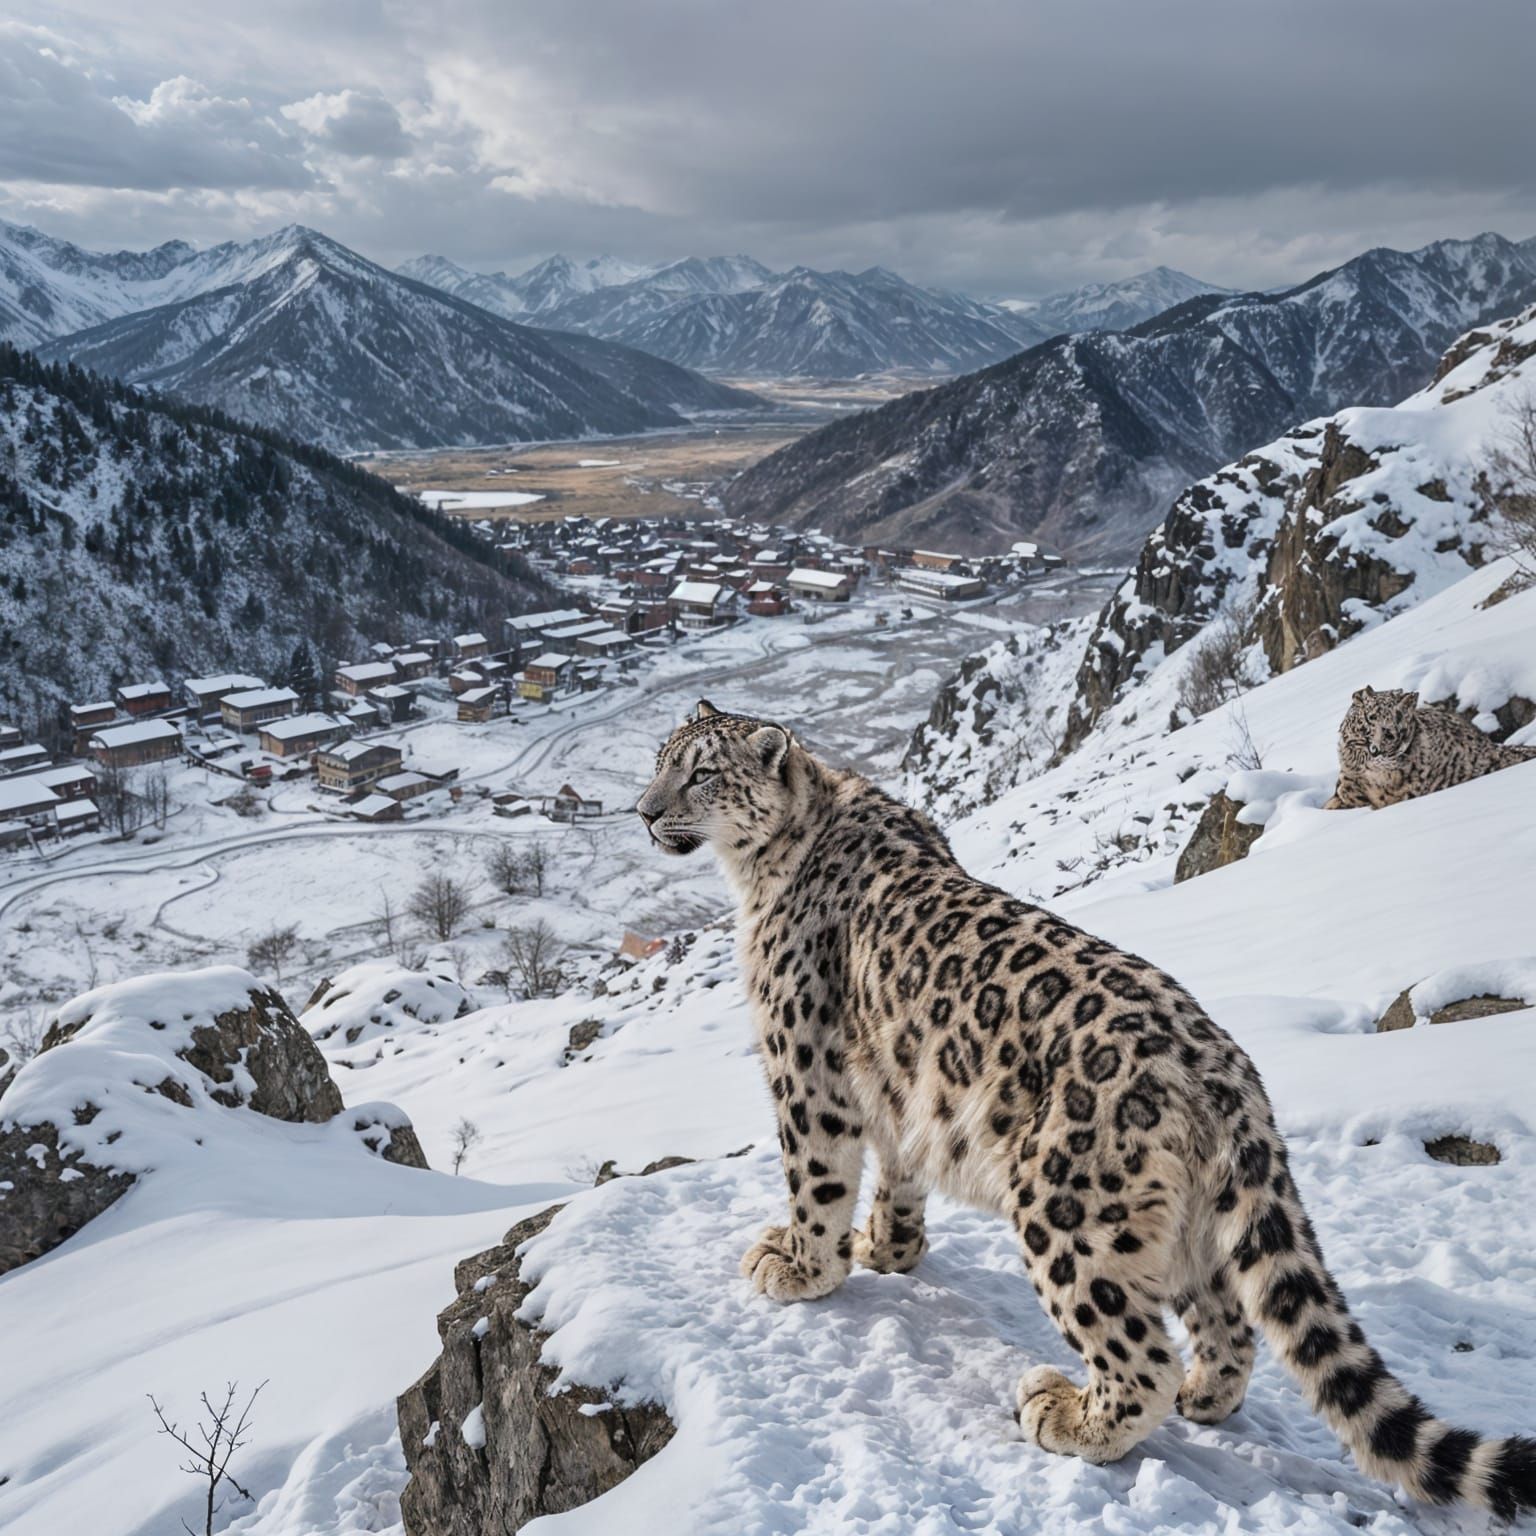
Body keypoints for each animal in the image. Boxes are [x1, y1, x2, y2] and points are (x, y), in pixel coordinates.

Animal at [636, 700, 1536, 1516]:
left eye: (702, 771)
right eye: (659, 760)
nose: (643, 811)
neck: (763, 870)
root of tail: (1226, 1075)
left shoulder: (804, 1068)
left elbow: (814, 1176)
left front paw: (801, 1267)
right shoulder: (897, 1085)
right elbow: (898, 1171)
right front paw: (885, 1249)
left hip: (1064, 1210)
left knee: (1140, 1354)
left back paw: (1065, 1413)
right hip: (1191, 1226)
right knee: (1228, 1321)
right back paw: (1205, 1397)